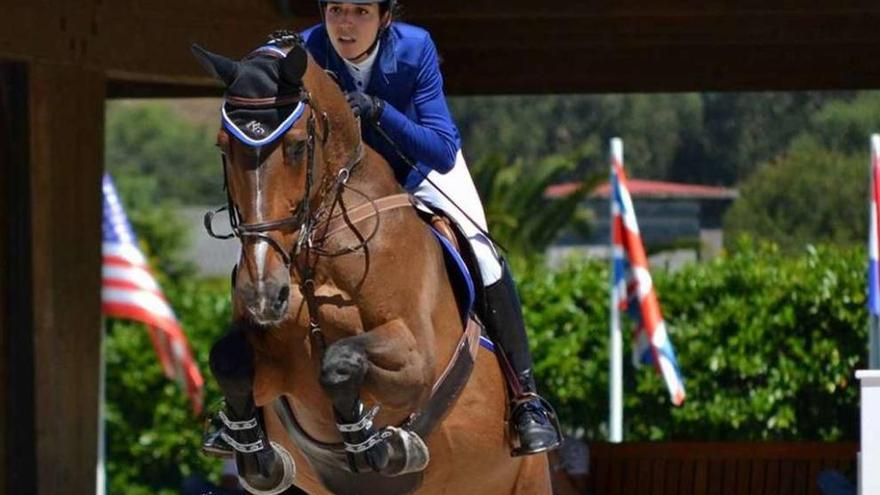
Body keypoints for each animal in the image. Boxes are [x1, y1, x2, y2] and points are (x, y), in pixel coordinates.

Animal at [192, 35, 552, 495]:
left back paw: (533, 423)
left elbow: (340, 361)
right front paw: (259, 459)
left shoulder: (416, 358)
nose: (264, 295)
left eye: (297, 146)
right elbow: (228, 358)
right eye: (223, 146)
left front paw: (381, 446)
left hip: (529, 479)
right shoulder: (275, 367)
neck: (317, 247)